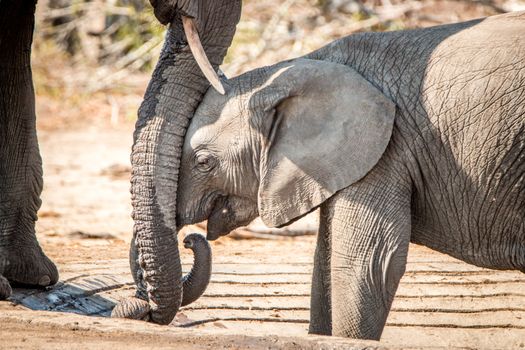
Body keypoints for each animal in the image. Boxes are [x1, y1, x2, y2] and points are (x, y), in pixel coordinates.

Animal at [172, 13, 524, 340]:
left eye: (203, 162)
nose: (190, 241)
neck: (302, 67)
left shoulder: (385, 150)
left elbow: (367, 265)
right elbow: (324, 264)